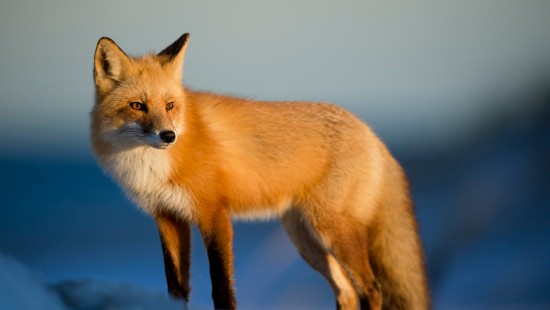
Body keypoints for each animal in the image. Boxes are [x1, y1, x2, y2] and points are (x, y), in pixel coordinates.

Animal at [89, 32, 432, 308]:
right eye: (137, 106)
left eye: (170, 105)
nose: (168, 136)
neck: (151, 167)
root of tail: (371, 133)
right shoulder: (167, 217)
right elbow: (176, 289)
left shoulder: (214, 214)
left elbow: (222, 289)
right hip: (306, 240)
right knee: (346, 292)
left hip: (333, 230)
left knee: (371, 289)